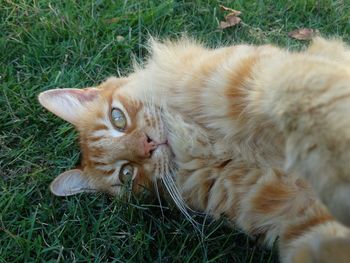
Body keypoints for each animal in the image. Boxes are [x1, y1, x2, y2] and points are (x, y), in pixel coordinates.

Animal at [38, 37, 350, 263]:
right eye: (127, 174)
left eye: (117, 119)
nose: (148, 145)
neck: (199, 145)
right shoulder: (301, 217)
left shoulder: (256, 75)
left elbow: (307, 94)